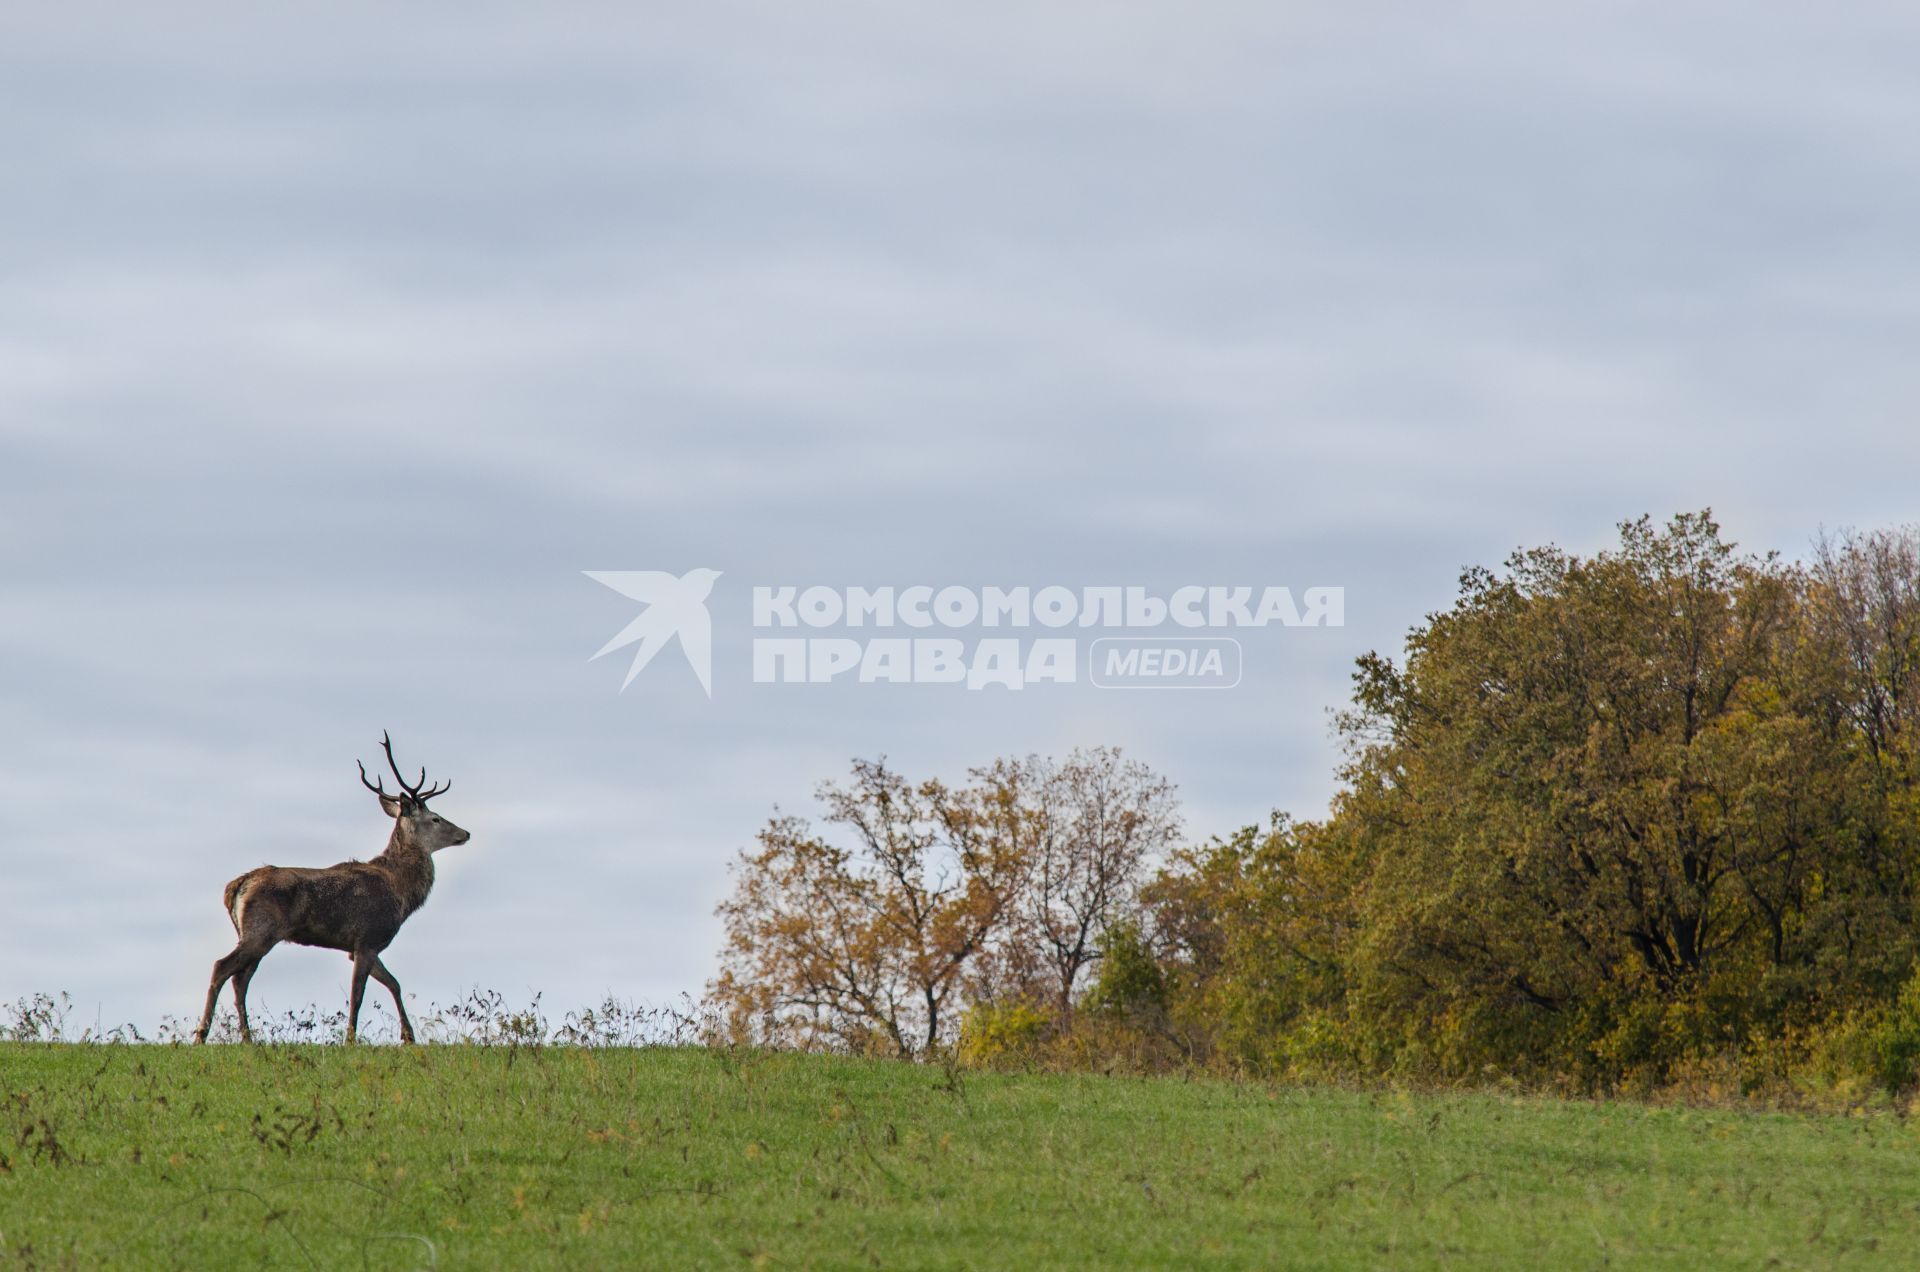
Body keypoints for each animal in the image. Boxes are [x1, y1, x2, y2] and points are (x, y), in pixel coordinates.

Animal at [192, 737, 472, 1045]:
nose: (465, 833)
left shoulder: (359, 946)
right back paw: (202, 1035)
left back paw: (247, 1038)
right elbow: (358, 994)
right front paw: (350, 1040)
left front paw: (408, 1037)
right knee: (222, 967)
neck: (401, 893)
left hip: (255, 934)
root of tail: (236, 886)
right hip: (261, 930)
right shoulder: (368, 937)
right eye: (435, 818)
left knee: (240, 979)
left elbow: (395, 984)